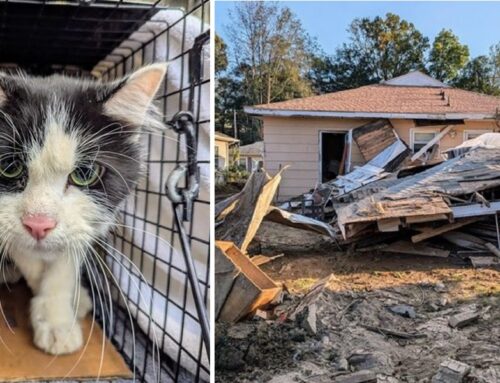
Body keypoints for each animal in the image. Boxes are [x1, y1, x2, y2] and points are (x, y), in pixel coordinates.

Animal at [0, 63, 168, 356]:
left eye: (84, 174)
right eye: (9, 167)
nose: (38, 224)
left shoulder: (88, 221)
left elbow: (64, 265)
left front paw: (58, 317)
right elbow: (24, 251)